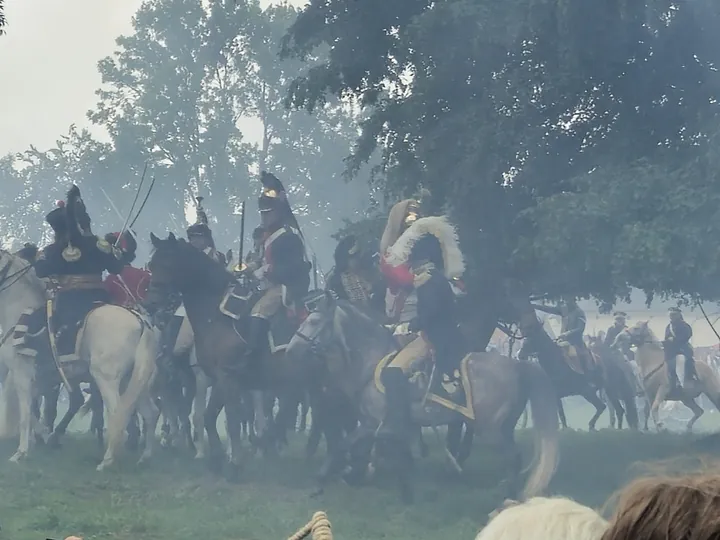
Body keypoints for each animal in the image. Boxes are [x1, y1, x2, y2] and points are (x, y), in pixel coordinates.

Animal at [0, 249, 160, 468]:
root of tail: (140, 321)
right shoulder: (41, 379)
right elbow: (32, 413)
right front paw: (45, 437)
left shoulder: (22, 374)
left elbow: (25, 413)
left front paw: (21, 452)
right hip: (135, 381)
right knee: (150, 414)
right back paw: (145, 457)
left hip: (106, 378)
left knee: (117, 413)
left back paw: (107, 461)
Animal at [284, 296, 560, 502]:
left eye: (314, 321)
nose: (290, 350)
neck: (371, 361)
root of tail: (518, 366)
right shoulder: (387, 426)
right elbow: (383, 454)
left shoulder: (376, 424)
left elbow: (349, 446)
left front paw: (325, 479)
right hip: (501, 428)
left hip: (490, 430)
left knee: (512, 458)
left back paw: (508, 498)